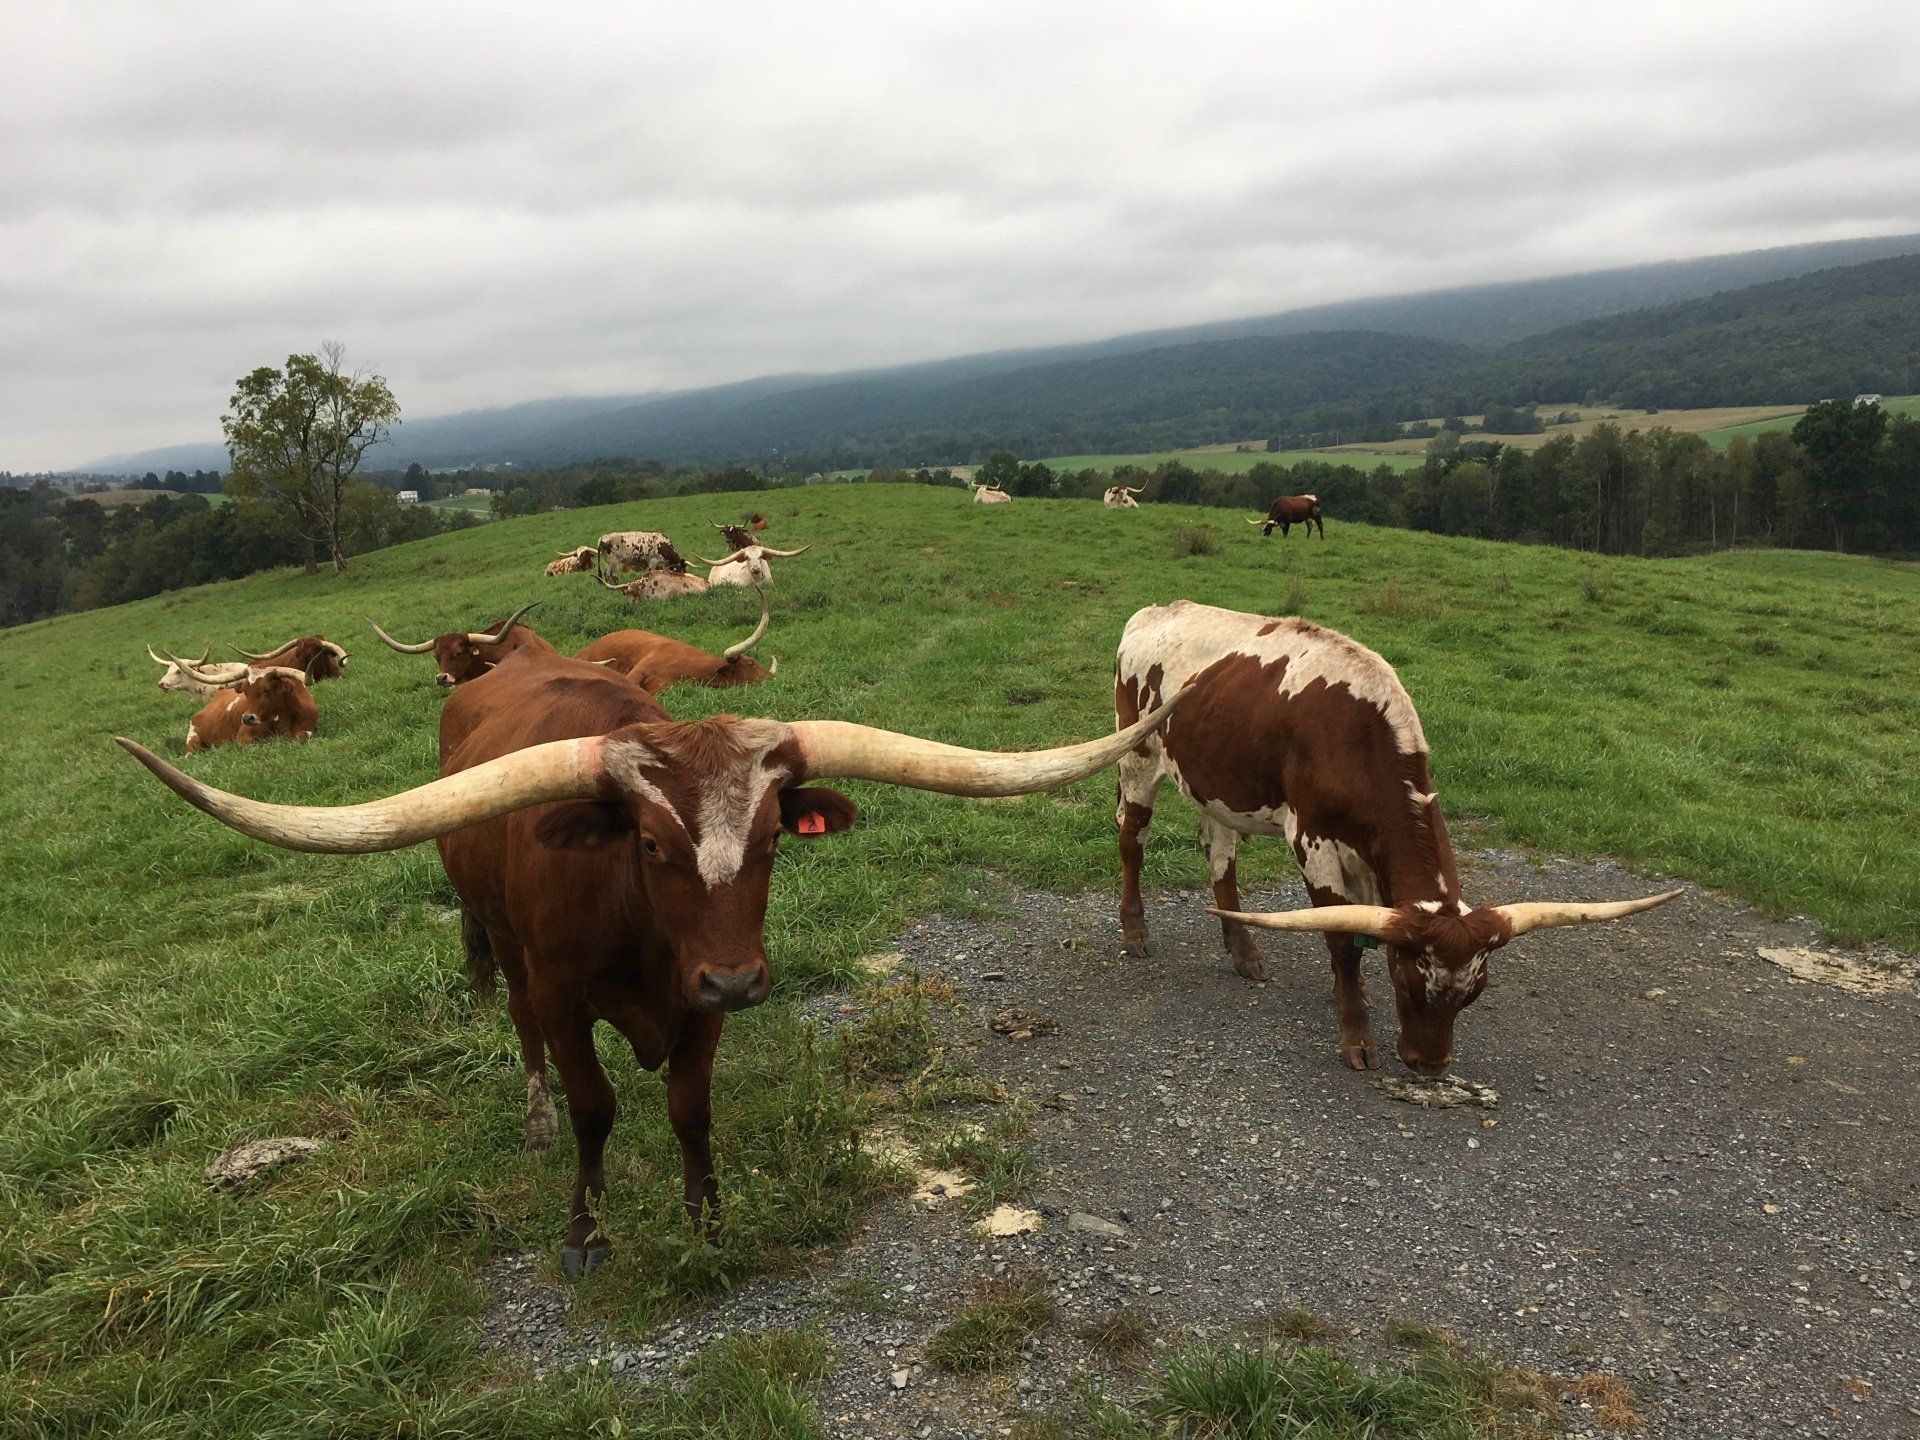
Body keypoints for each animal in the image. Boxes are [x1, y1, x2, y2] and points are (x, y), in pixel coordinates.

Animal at [183, 662, 320, 753]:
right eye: (245, 690)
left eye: (266, 689)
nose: (247, 719)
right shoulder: (243, 738)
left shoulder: (307, 728)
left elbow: (301, 736)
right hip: (193, 738)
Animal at [1114, 600, 1679, 1077]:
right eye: (1408, 983)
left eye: (1473, 994)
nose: (1429, 1066)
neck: (1359, 738)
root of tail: (1156, 610)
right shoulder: (1313, 843)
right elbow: (1342, 941)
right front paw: (1358, 1035)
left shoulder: (1368, 860)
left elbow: (1362, 929)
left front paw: (1354, 994)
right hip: (1137, 758)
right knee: (1131, 843)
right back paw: (1135, 932)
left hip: (1216, 787)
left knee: (1219, 856)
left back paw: (1243, 951)